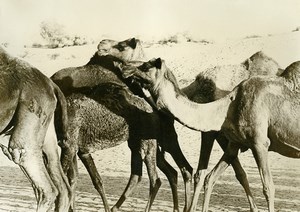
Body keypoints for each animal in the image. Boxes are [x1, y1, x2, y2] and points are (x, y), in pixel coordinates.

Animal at [50, 38, 193, 212]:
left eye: (122, 45)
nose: (101, 44)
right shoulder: (78, 149)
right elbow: (86, 180)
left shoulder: (71, 146)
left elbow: (69, 180)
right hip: (140, 142)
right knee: (160, 172)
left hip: (152, 141)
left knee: (168, 174)